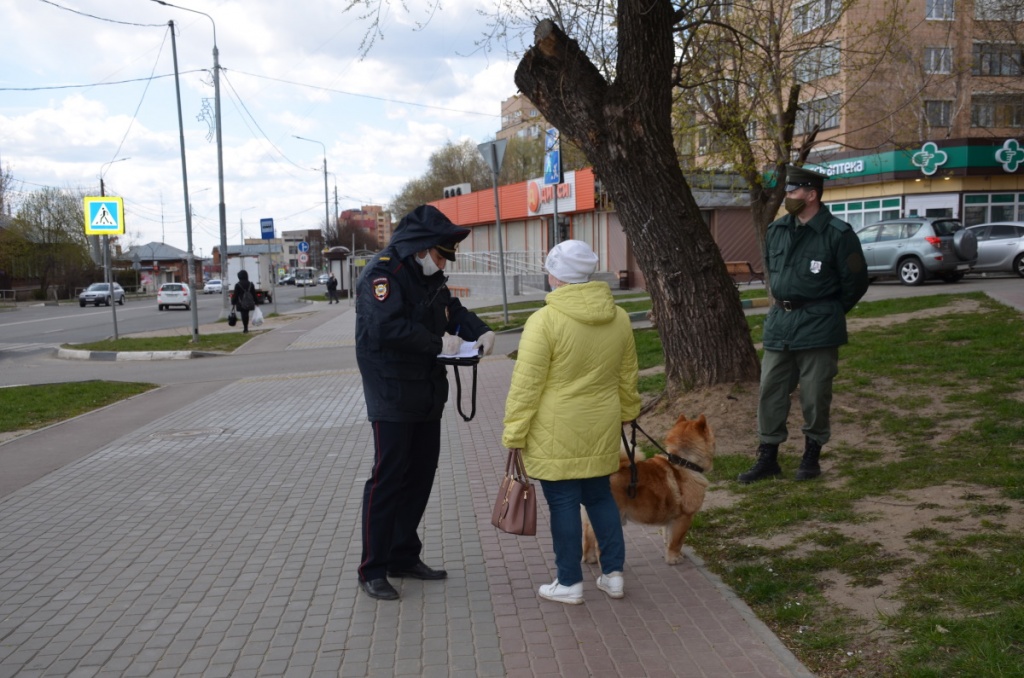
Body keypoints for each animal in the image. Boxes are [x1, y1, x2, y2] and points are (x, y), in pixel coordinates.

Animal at [581, 417, 716, 565]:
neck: (685, 462)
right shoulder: (684, 518)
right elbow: (677, 542)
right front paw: (674, 559)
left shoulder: (671, 520)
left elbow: (668, 539)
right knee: (599, 546)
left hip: (588, 519)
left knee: (587, 538)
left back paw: (590, 559)